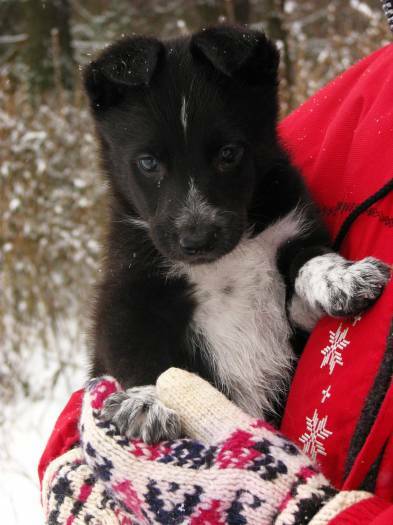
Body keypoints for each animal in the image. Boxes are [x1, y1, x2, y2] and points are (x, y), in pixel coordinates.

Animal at [84, 25, 390, 442]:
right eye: (147, 163)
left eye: (229, 153)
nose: (197, 240)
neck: (228, 261)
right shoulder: (126, 297)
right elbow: (143, 354)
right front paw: (148, 401)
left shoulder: (293, 247)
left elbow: (309, 259)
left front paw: (342, 277)